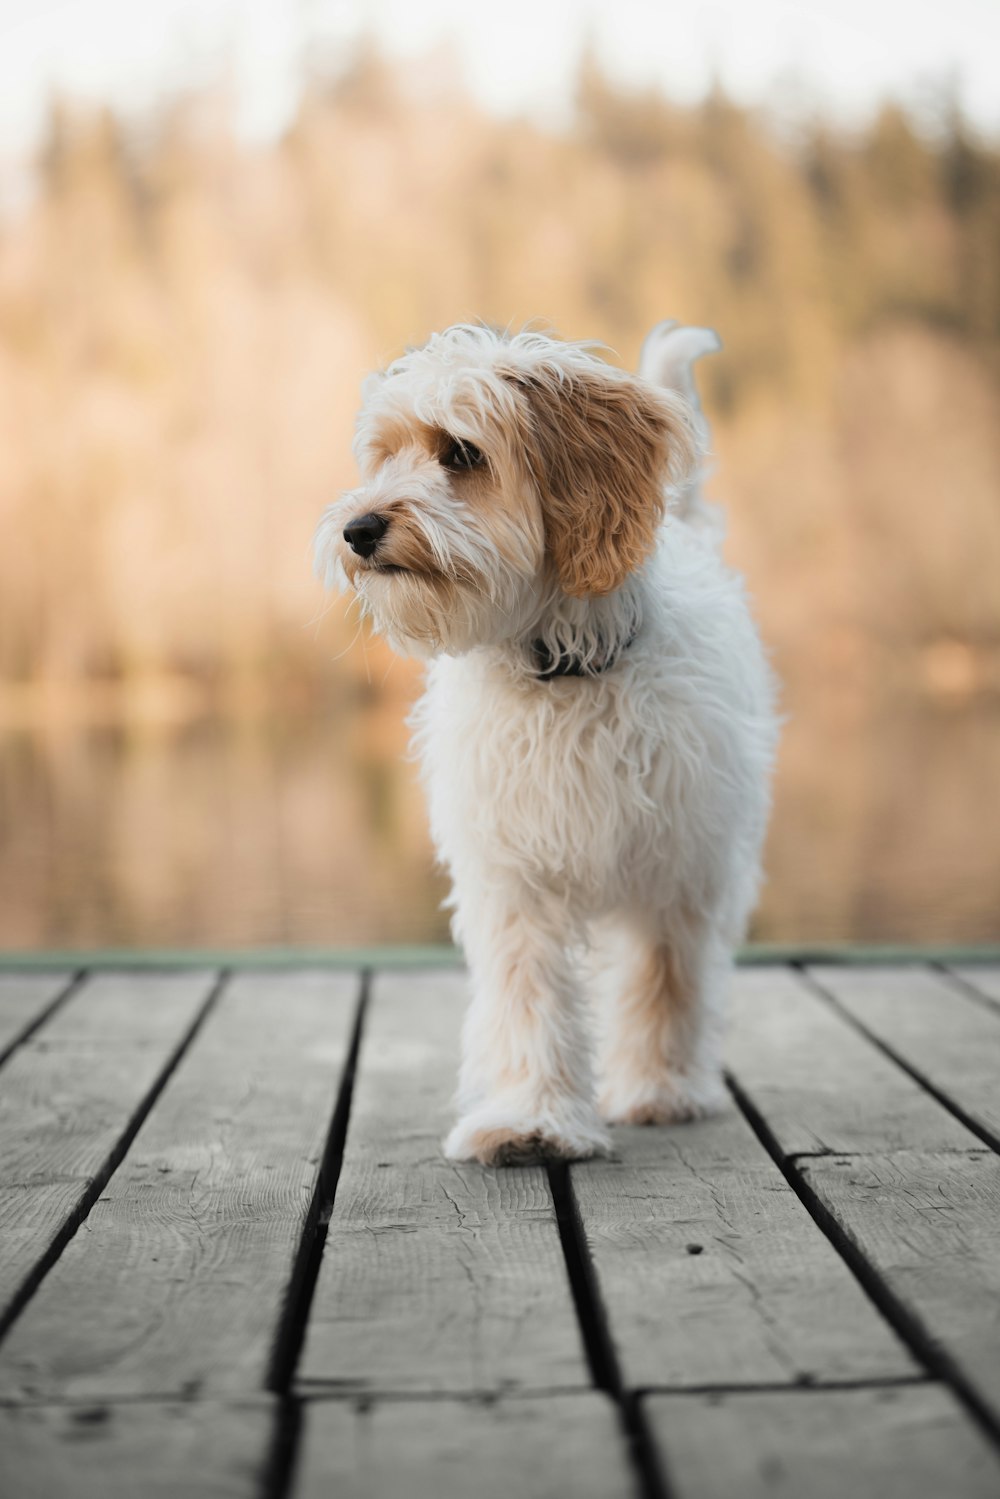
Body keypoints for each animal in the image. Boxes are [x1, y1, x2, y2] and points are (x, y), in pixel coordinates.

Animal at [316, 322, 779, 1163]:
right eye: (385, 455)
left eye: (462, 452)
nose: (357, 529)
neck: (564, 673)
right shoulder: (515, 872)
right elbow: (527, 993)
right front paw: (530, 1118)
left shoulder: (678, 858)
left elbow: (664, 978)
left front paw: (659, 1088)